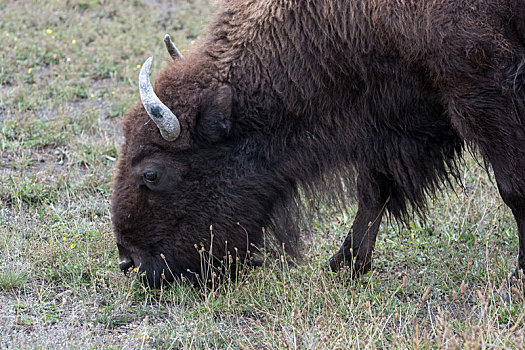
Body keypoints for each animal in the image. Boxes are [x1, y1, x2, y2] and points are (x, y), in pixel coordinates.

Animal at [111, 0, 524, 288]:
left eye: (152, 173)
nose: (130, 262)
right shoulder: (394, 111)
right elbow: (373, 190)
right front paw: (345, 265)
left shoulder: (482, 92)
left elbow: (512, 188)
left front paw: (516, 280)